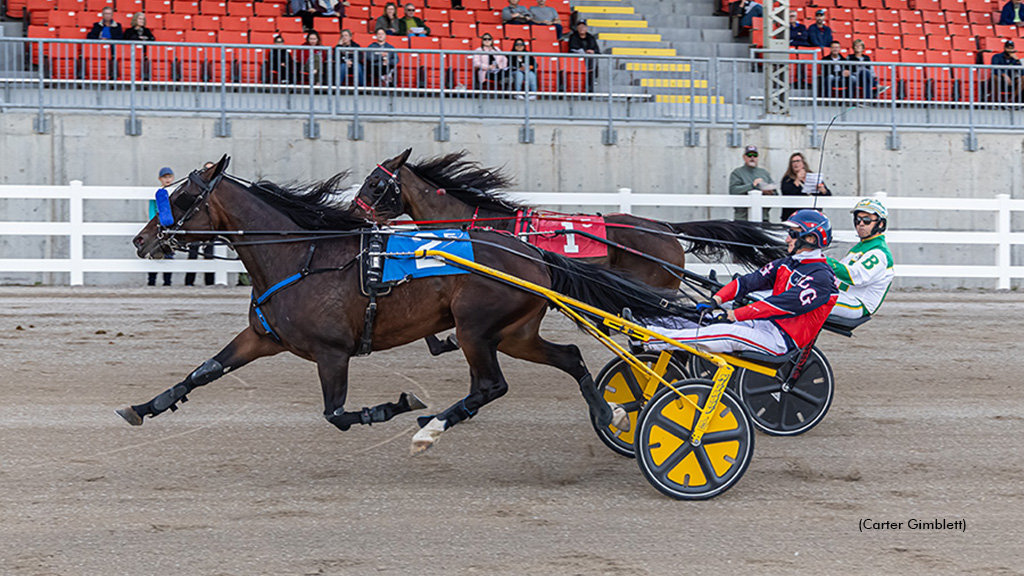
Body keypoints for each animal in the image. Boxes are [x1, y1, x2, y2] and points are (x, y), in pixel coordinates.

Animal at [123, 154, 692, 450]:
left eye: (180, 197)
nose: (142, 240)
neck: (301, 254)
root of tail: (532, 254)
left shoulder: (332, 352)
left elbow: (337, 414)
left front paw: (397, 405)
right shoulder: (263, 337)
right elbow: (203, 371)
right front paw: (144, 406)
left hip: (476, 327)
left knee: (490, 385)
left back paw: (433, 425)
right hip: (514, 333)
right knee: (570, 358)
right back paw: (610, 413)